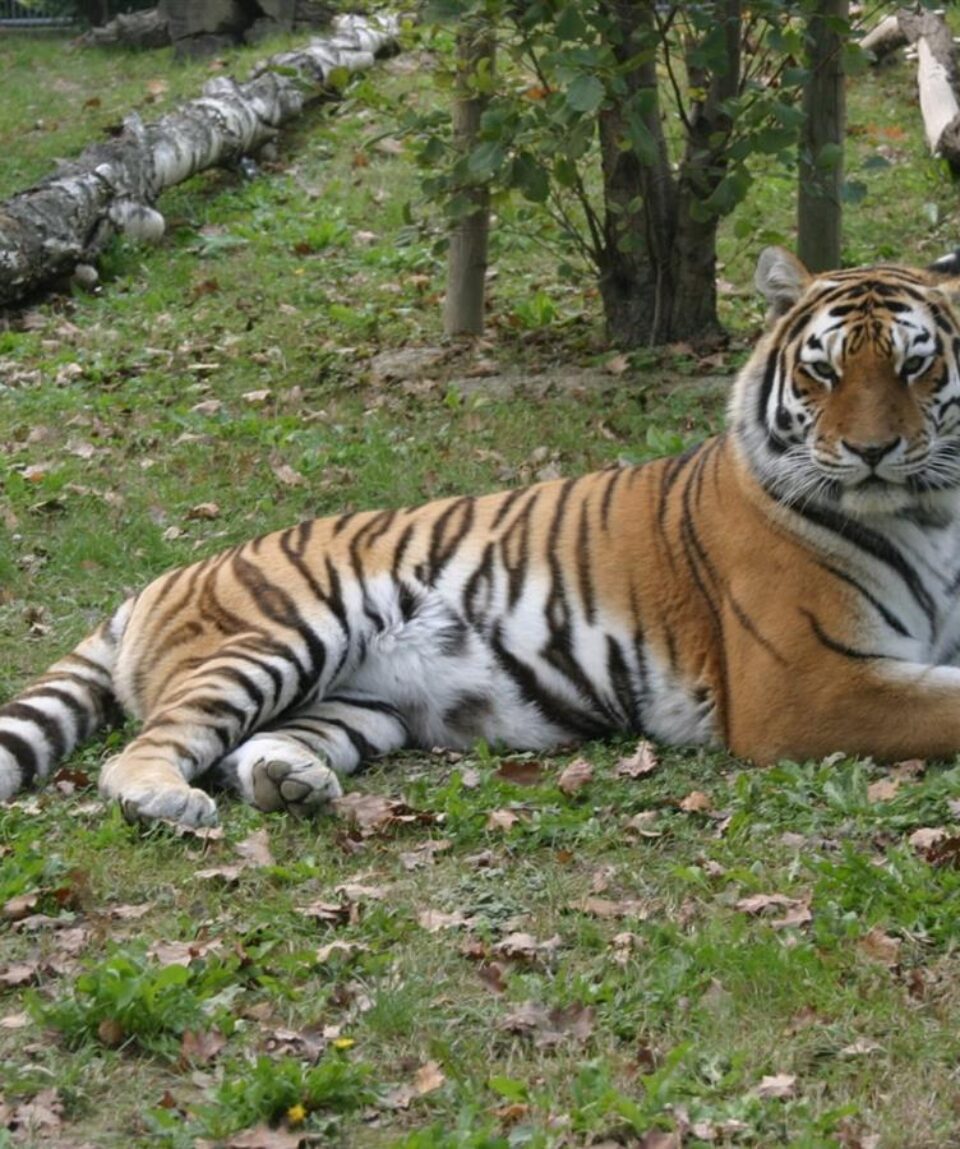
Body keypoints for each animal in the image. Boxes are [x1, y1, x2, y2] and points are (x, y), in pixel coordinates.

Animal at [4, 245, 960, 827]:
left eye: (914, 365)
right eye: (822, 370)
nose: (872, 451)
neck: (932, 514)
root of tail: (160, 579)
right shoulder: (809, 682)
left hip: (361, 705)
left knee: (251, 749)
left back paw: (294, 782)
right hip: (282, 632)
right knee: (148, 749)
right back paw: (167, 801)